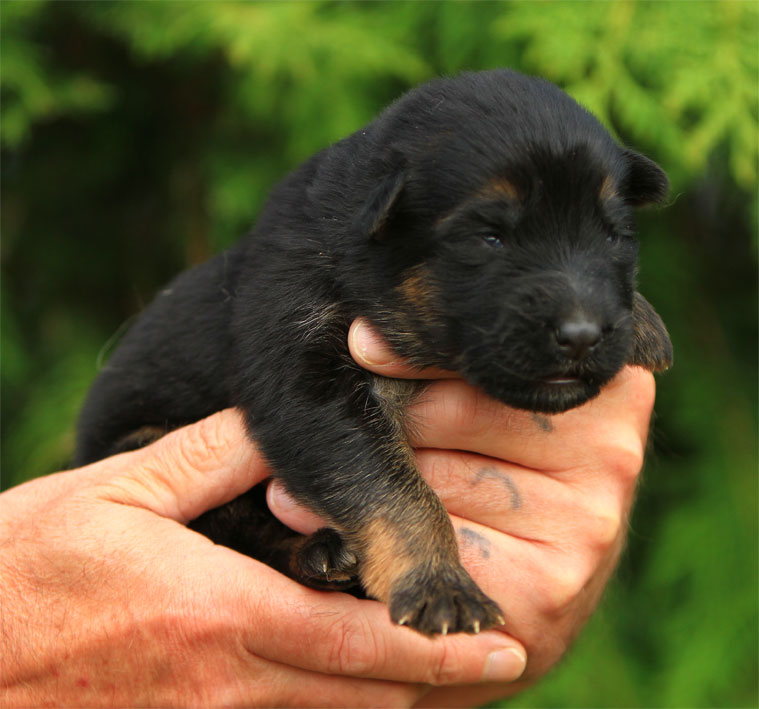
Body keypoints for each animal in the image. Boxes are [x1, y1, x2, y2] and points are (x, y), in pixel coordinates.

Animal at [75, 69, 672, 636]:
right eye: (490, 237)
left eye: (613, 236)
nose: (583, 334)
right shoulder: (306, 378)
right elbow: (393, 491)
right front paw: (439, 585)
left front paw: (643, 319)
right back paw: (317, 555)